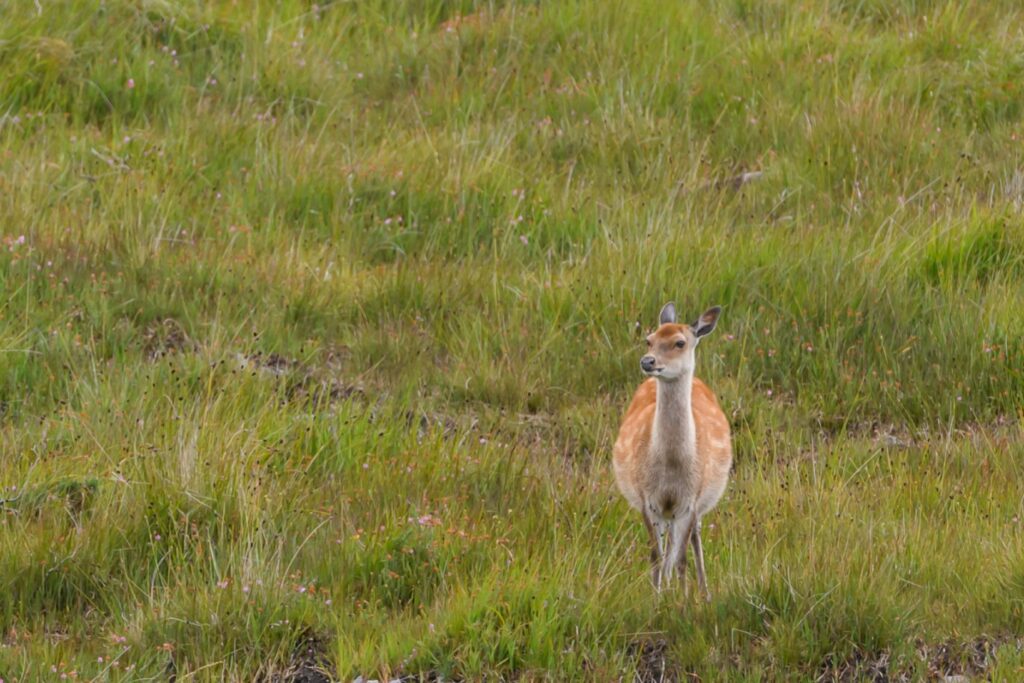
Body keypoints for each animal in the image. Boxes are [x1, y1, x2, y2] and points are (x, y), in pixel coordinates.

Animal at [610, 303, 733, 598]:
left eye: (680, 342)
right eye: (649, 339)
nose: (648, 361)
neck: (671, 468)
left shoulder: (690, 500)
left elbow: (682, 558)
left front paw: (684, 600)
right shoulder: (646, 498)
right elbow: (655, 554)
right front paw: (656, 597)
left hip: (701, 502)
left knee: (694, 538)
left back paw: (704, 592)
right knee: (668, 544)